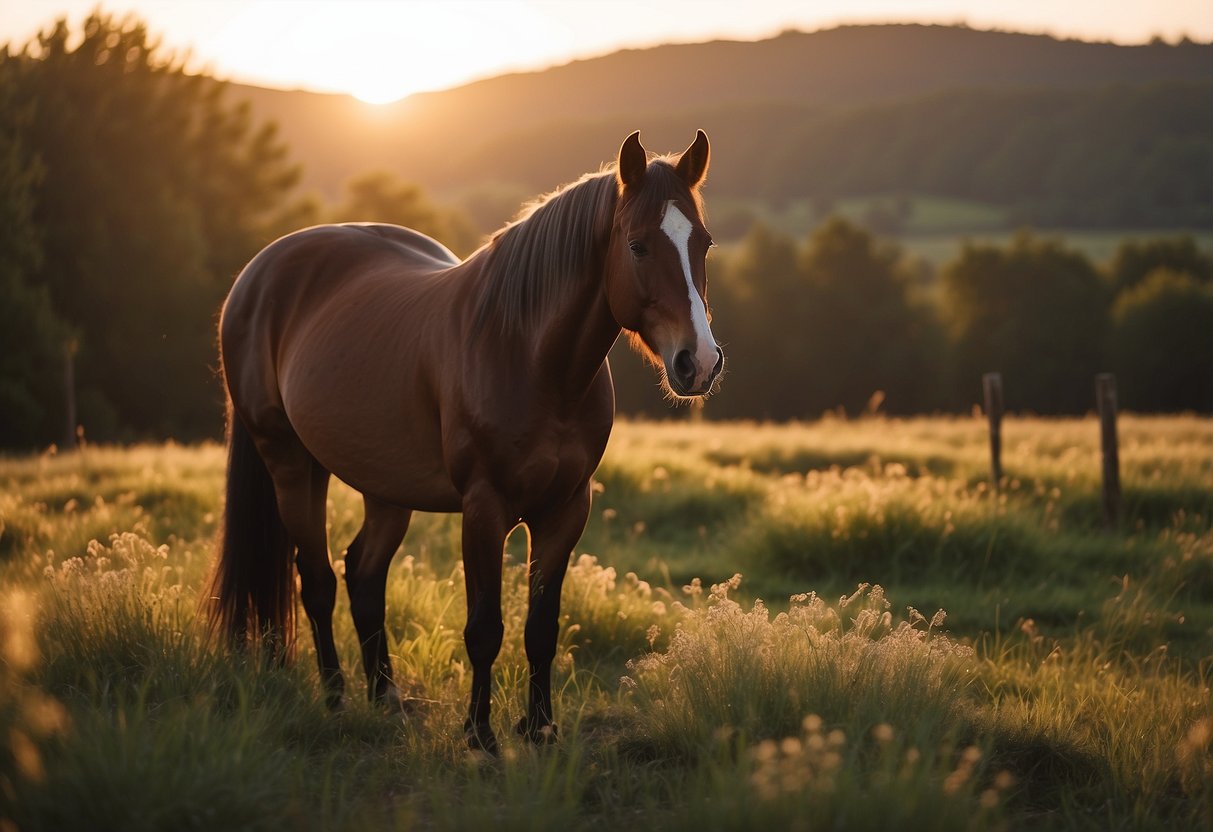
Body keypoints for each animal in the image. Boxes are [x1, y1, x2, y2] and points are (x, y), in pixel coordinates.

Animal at [207, 130, 718, 756]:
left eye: (704, 243)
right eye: (639, 246)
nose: (700, 362)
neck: (528, 353)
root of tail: (257, 275)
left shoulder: (566, 510)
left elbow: (541, 628)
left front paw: (540, 728)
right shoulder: (484, 508)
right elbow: (484, 629)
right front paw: (480, 735)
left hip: (385, 487)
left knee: (363, 573)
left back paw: (387, 697)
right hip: (291, 463)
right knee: (319, 580)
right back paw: (335, 697)